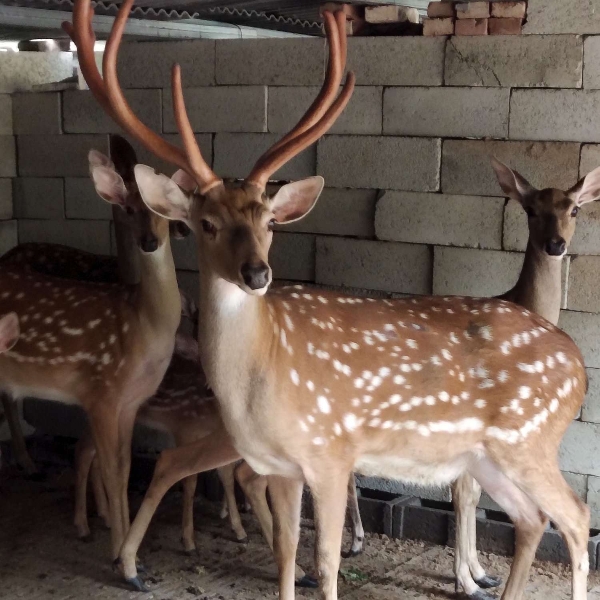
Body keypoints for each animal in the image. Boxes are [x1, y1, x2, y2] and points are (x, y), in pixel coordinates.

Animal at [452, 156, 600, 600]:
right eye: (531, 209)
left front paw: (479, 572)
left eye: (575, 209)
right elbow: (465, 492)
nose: (556, 244)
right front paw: (468, 581)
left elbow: (470, 492)